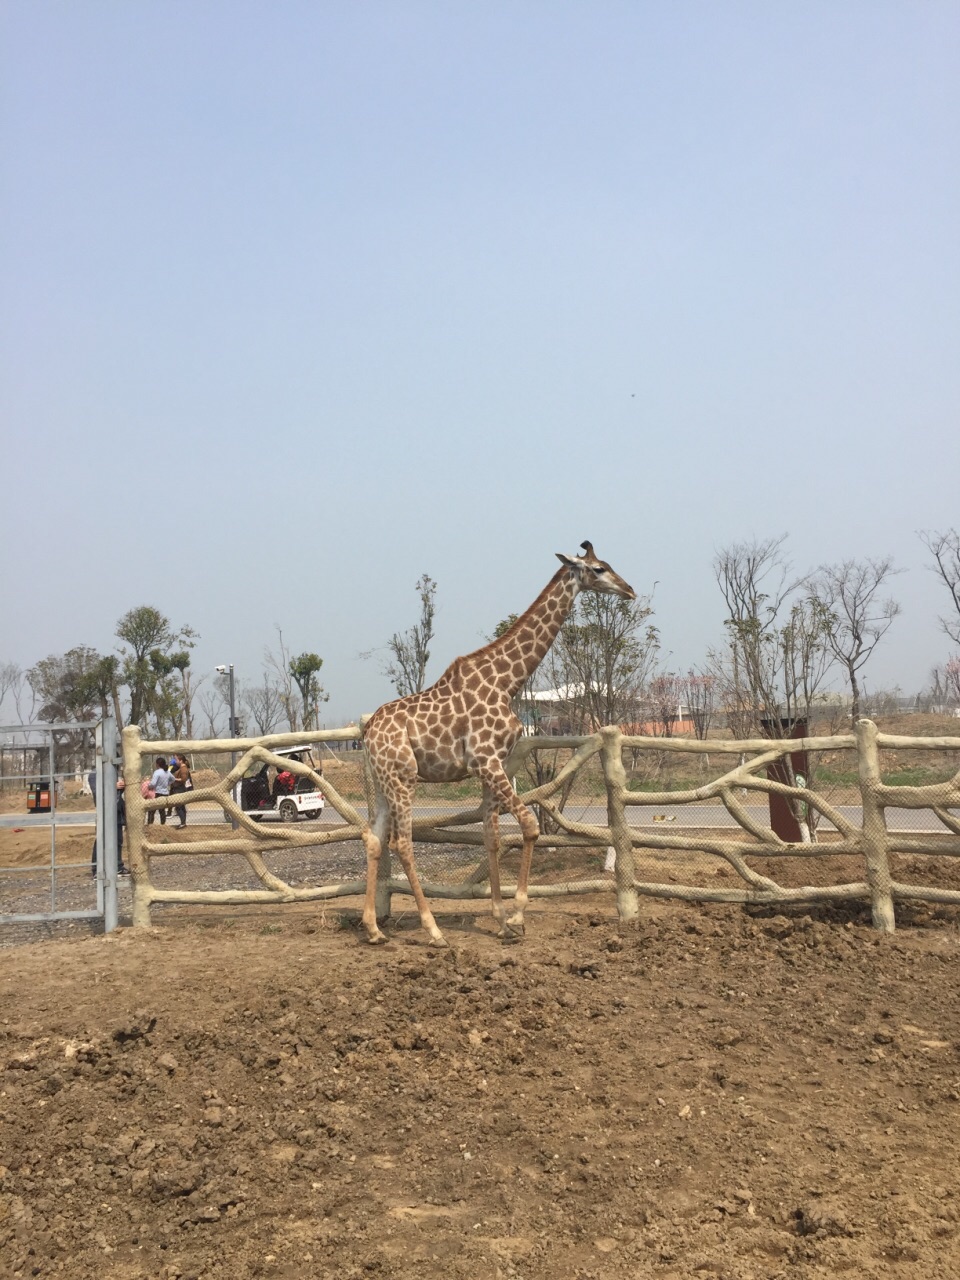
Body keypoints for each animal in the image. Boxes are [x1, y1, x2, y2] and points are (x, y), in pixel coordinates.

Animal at [360, 535, 640, 947]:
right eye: (599, 568)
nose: (629, 589)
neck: (507, 682)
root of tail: (367, 734)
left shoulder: (493, 765)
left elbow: (491, 837)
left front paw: (501, 918)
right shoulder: (486, 761)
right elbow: (529, 826)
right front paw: (519, 916)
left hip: (383, 783)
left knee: (375, 840)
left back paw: (374, 929)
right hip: (403, 779)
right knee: (403, 844)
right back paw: (433, 930)